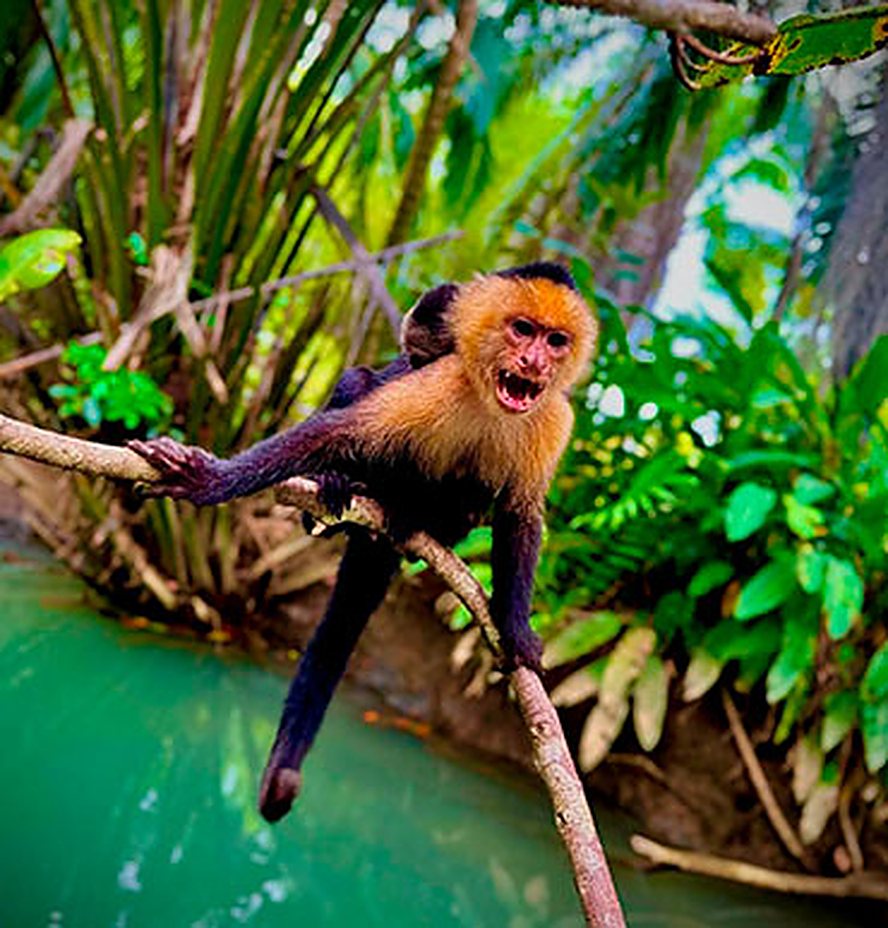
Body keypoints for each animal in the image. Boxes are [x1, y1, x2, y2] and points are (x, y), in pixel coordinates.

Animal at [128, 262, 597, 823]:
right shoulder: (440, 379)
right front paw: (210, 480)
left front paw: (515, 626)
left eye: (556, 341)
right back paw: (341, 487)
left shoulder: (554, 420)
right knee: (360, 386)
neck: (493, 403)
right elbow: (342, 429)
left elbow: (522, 515)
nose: (535, 361)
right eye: (522, 330)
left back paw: (422, 518)